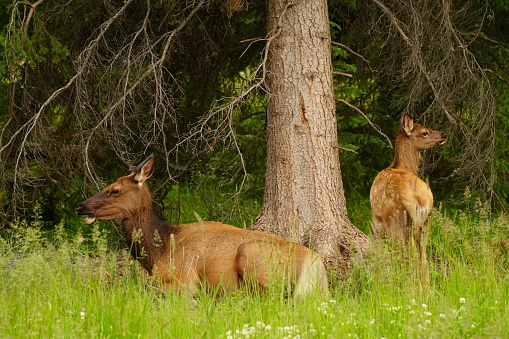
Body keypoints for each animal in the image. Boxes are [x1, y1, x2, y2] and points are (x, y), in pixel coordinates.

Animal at [76, 155, 330, 296]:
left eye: (115, 190)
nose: (80, 207)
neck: (160, 250)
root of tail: (317, 269)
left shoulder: (184, 280)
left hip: (252, 254)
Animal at [370, 115, 444, 290]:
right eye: (425, 132)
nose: (443, 134)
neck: (401, 166)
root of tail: (416, 198)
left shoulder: (377, 220)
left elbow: (382, 255)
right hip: (425, 220)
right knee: (422, 258)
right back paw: (425, 290)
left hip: (397, 221)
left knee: (406, 257)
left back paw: (409, 288)